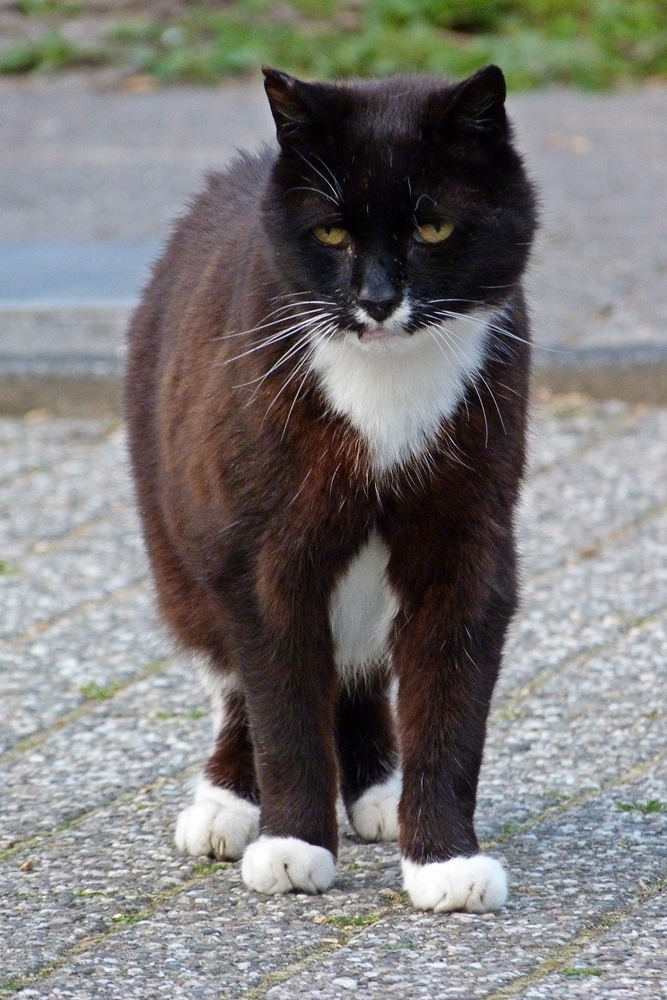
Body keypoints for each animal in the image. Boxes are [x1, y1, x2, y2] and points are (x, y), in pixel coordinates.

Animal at [125, 62, 540, 916]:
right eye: (329, 234)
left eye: (433, 230)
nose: (377, 300)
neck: (384, 389)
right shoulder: (265, 548)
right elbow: (282, 701)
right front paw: (291, 845)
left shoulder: (469, 534)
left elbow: (451, 692)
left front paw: (444, 857)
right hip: (180, 536)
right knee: (237, 674)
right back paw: (225, 802)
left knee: (356, 671)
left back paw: (379, 789)